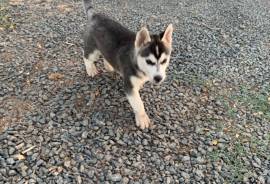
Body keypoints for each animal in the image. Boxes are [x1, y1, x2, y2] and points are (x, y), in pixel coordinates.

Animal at [82, 0, 174, 129]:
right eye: (149, 61)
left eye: (164, 61)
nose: (158, 78)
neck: (139, 66)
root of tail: (96, 15)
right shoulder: (129, 86)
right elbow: (138, 104)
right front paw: (142, 118)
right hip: (93, 50)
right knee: (86, 56)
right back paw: (91, 69)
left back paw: (109, 66)